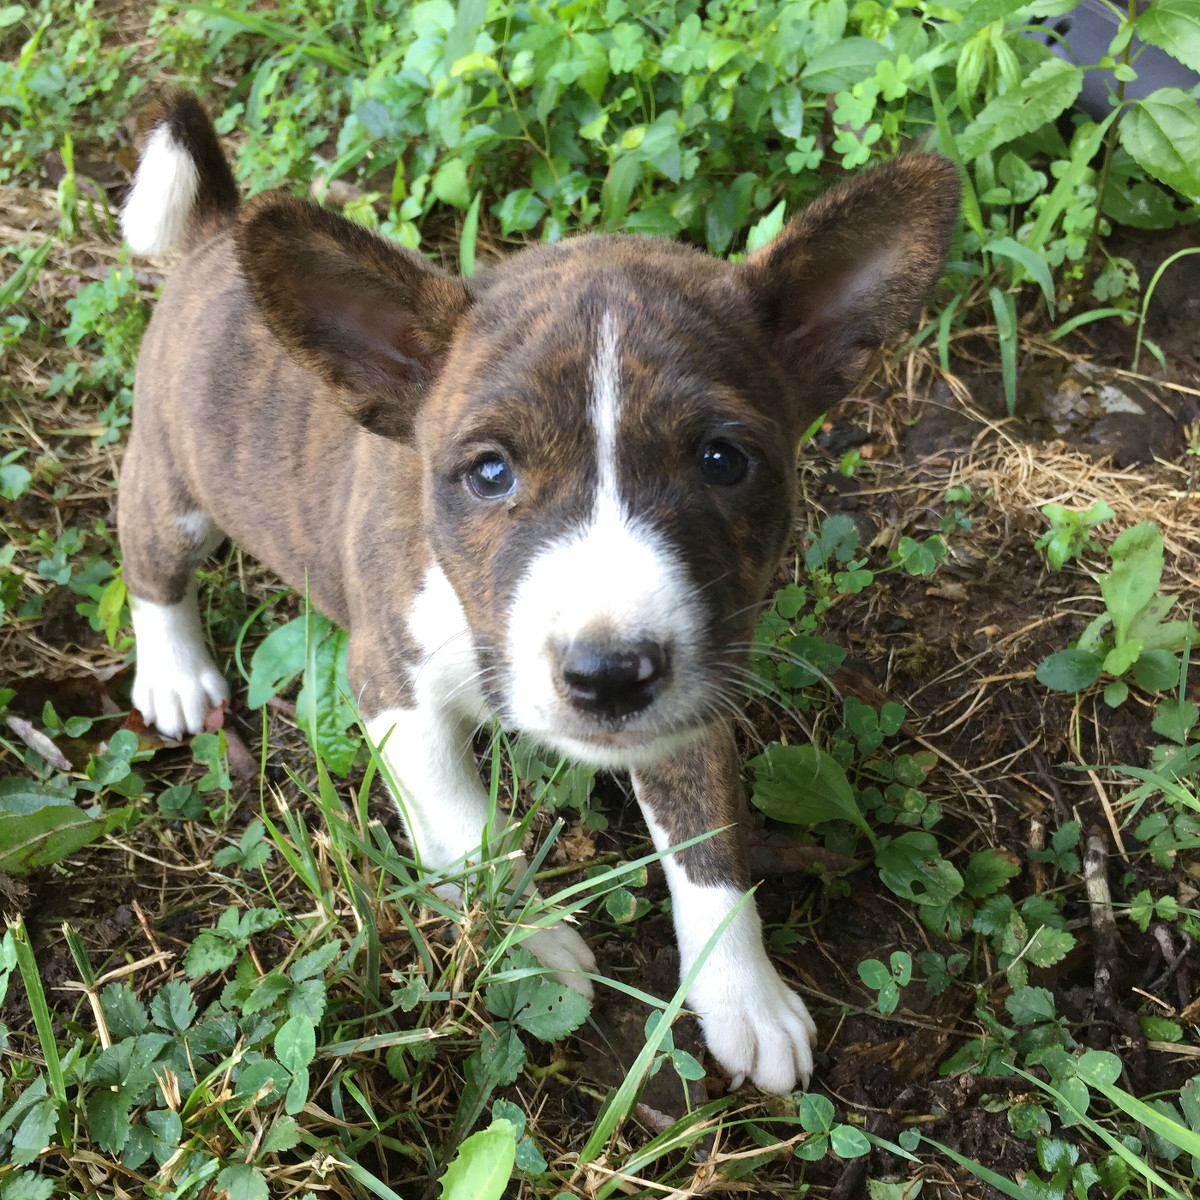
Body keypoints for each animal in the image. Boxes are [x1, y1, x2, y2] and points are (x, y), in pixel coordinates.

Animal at [121, 88, 960, 1094]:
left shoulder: (696, 694)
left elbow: (712, 850)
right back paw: (175, 673)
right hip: (172, 494)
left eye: (724, 461)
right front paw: (528, 942)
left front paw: (742, 996)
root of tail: (216, 234)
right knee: (149, 568)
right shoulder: (391, 684)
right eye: (489, 473)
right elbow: (470, 827)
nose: (608, 677)